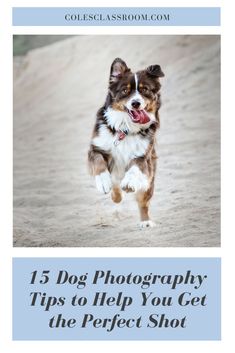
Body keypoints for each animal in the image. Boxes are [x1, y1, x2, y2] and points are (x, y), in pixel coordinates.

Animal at [87, 57, 164, 228]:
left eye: (144, 89)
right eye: (125, 90)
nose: (136, 103)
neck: (125, 129)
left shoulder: (143, 156)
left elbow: (135, 167)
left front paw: (129, 183)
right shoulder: (96, 148)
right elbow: (99, 162)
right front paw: (103, 182)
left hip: (149, 181)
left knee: (143, 202)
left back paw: (145, 221)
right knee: (116, 187)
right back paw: (115, 193)